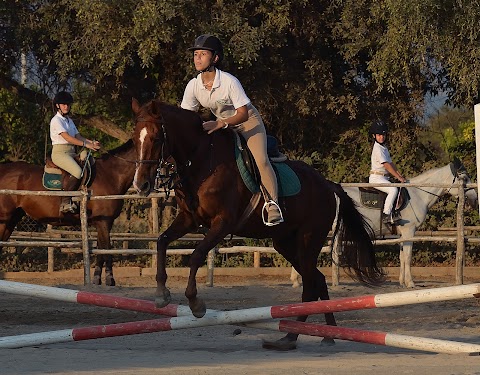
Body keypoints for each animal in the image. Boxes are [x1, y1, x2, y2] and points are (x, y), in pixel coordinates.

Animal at [0, 140, 139, 284]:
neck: (110, 174)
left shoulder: (104, 223)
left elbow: (101, 249)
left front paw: (97, 280)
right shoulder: (103, 222)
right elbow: (106, 249)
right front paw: (110, 280)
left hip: (11, 220)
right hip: (4, 219)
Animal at [131, 98, 386, 352]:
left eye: (156, 138)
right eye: (134, 139)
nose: (141, 184)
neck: (202, 161)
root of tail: (328, 185)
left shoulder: (222, 223)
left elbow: (196, 255)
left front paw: (196, 303)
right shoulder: (189, 219)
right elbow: (162, 241)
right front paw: (161, 294)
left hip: (308, 239)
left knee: (310, 283)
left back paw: (293, 337)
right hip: (285, 243)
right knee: (317, 279)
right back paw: (324, 334)